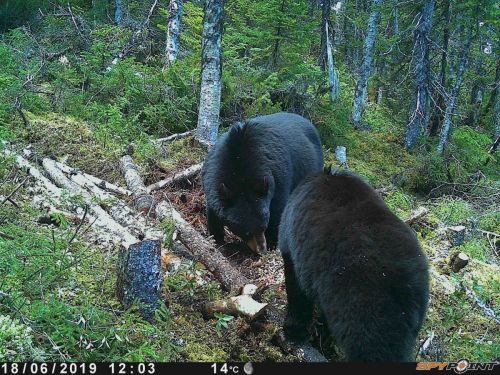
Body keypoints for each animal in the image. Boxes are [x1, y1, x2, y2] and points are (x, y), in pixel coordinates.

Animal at [203, 111, 324, 253]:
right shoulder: (212, 182)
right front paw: (216, 239)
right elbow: (213, 213)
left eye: (263, 226)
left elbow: (278, 212)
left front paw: (273, 244)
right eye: (246, 232)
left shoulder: (278, 179)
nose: (261, 250)